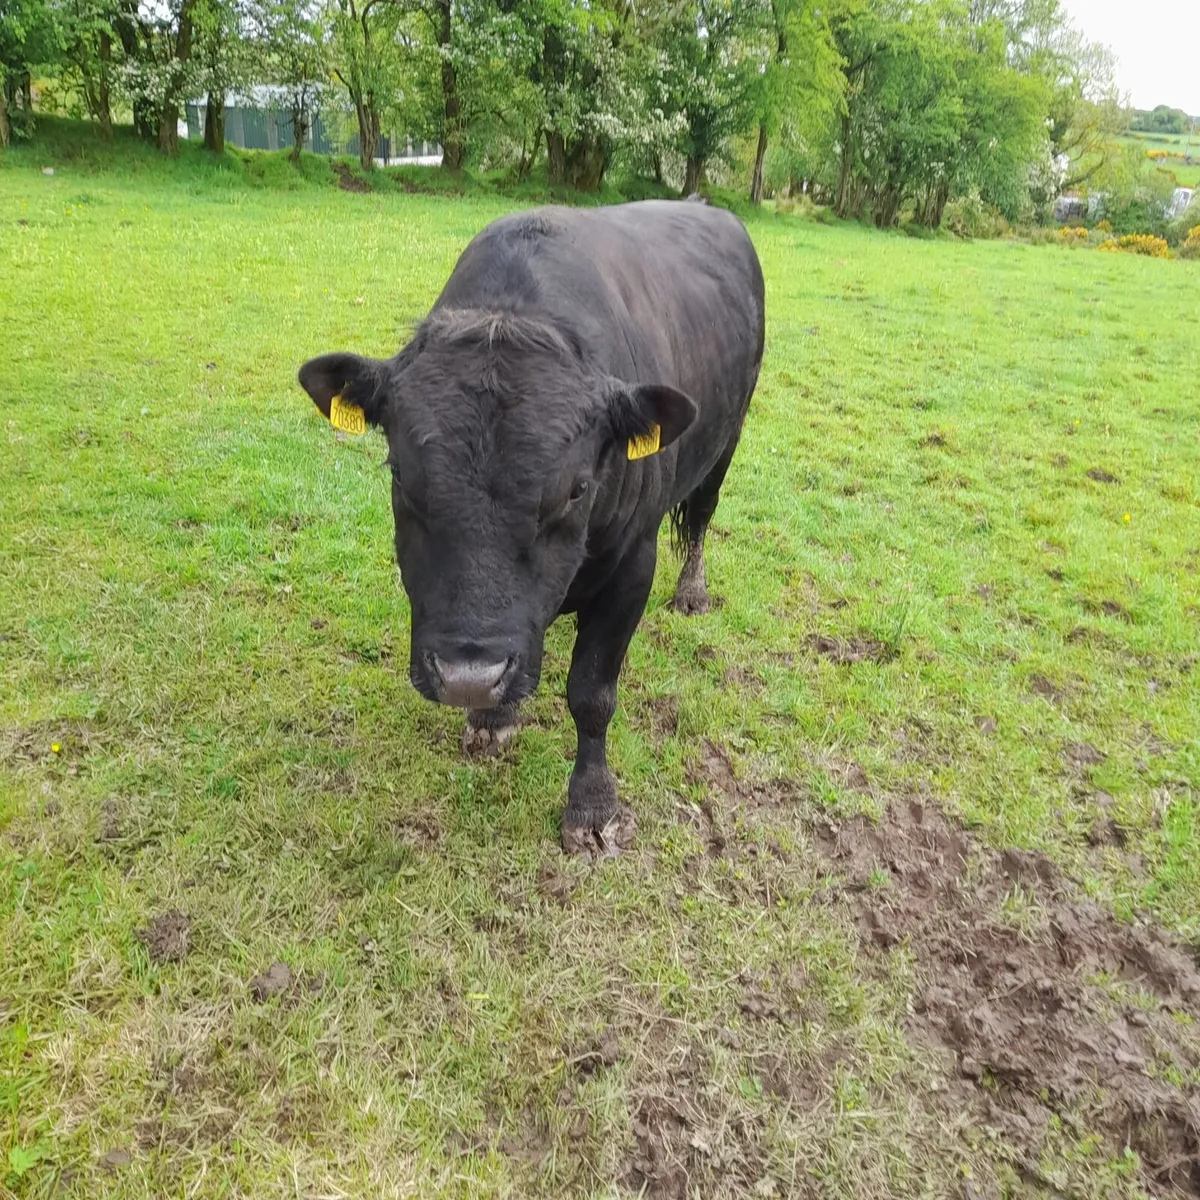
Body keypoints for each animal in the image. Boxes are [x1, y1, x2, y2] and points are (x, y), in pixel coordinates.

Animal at [298, 199, 765, 854]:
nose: (469, 678)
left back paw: (692, 591)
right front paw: (491, 719)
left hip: (728, 437)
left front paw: (591, 806)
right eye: (401, 475)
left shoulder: (634, 563)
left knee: (700, 516)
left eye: (576, 488)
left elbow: (592, 692)